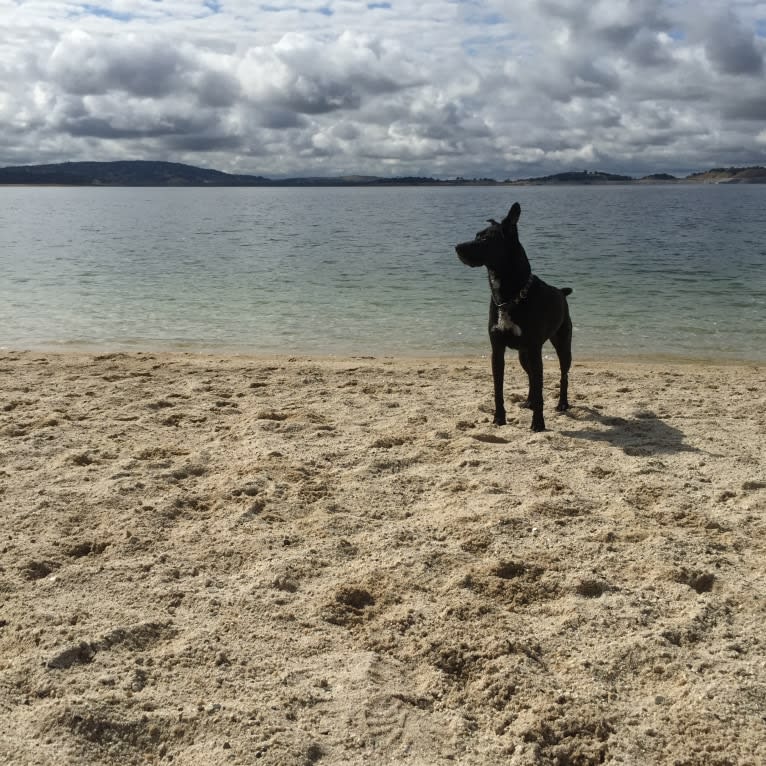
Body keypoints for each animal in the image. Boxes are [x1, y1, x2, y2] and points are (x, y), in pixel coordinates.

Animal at [456, 204, 576, 432]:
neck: (510, 296)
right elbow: (499, 389)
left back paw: (562, 404)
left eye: (486, 239)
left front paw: (538, 423)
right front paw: (499, 418)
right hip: (523, 354)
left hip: (562, 344)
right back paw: (528, 401)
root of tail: (561, 292)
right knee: (530, 377)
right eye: (476, 235)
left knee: (563, 375)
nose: (457, 247)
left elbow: (540, 389)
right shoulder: (497, 350)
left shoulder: (536, 350)